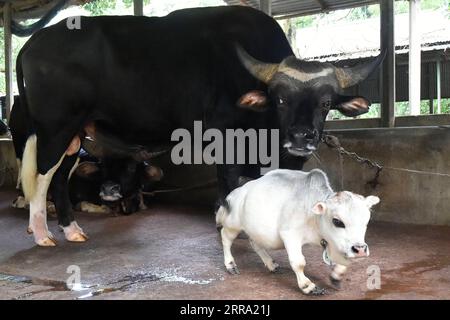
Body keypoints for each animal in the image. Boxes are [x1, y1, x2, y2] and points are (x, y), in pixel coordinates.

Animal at [16, 5, 384, 246]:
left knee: (59, 178)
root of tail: (34, 41)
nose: (301, 138)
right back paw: (42, 233)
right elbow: (229, 183)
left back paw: (71, 230)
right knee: (41, 176)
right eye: (280, 99)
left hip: (75, 134)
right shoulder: (225, 137)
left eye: (325, 103)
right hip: (54, 128)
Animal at [216, 169, 378, 296]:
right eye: (337, 221)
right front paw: (308, 286)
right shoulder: (289, 234)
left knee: (255, 243)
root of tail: (235, 193)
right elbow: (298, 262)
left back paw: (270, 264)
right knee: (225, 238)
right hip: (233, 225)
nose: (360, 249)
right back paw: (230, 264)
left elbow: (343, 261)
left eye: (367, 220)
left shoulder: (334, 241)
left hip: (255, 229)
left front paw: (336, 276)